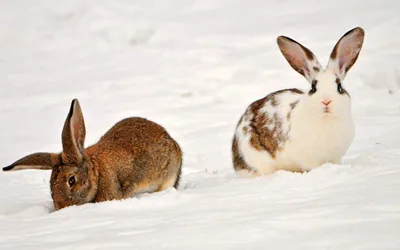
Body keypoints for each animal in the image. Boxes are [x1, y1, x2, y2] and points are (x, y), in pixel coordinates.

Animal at [231, 26, 366, 176]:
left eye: (339, 87)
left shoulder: (335, 157)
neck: (326, 119)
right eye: (313, 88)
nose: (326, 101)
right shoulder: (309, 160)